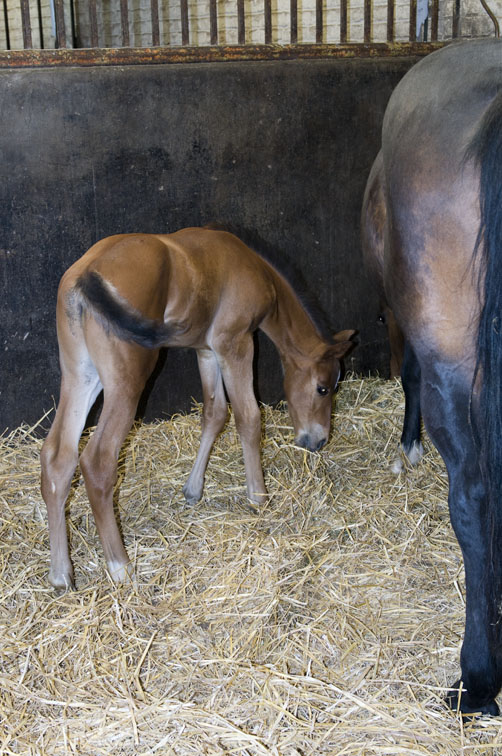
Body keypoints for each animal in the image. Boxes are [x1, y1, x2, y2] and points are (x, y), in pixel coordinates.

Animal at [40, 227, 352, 592]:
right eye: (323, 388)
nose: (318, 441)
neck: (255, 268)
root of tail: (85, 275)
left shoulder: (205, 350)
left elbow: (215, 414)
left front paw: (193, 490)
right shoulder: (235, 343)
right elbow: (249, 417)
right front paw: (259, 496)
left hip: (80, 376)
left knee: (58, 457)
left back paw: (61, 574)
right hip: (128, 380)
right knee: (97, 460)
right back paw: (121, 567)